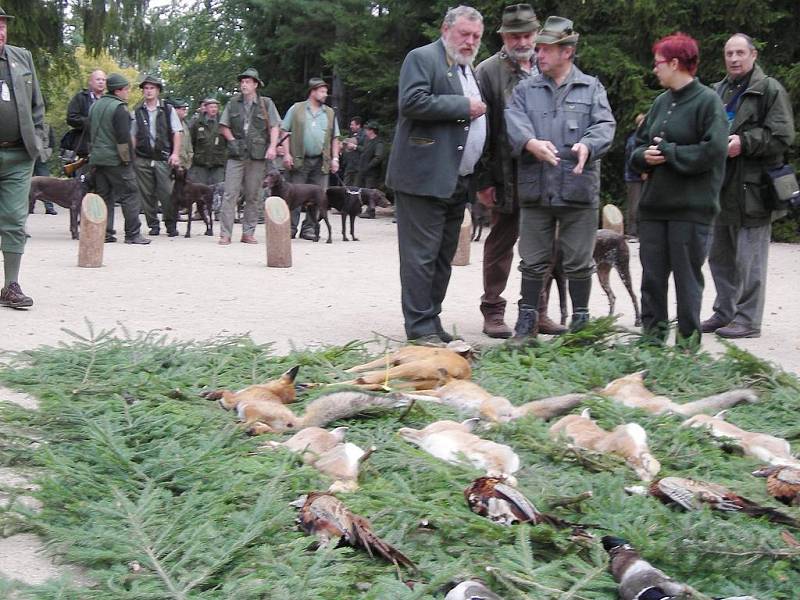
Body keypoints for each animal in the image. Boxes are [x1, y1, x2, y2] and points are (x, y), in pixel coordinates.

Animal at [340, 340, 472, 392]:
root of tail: (464, 373)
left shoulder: (394, 356)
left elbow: (360, 367)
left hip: (415, 366)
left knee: (369, 380)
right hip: (414, 382)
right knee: (377, 384)